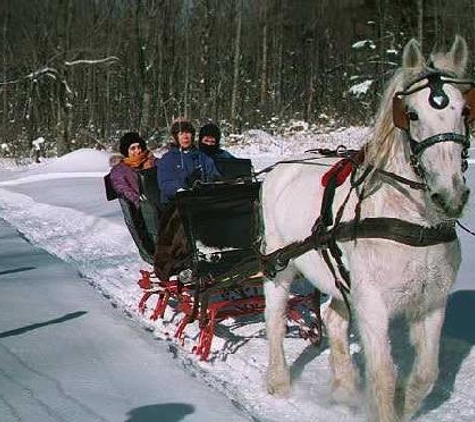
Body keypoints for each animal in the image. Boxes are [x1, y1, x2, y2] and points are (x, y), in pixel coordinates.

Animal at [262, 36, 474, 422]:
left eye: (465, 111)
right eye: (412, 114)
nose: (449, 196)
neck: (414, 222)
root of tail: (279, 168)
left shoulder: (431, 301)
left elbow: (426, 373)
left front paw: (404, 403)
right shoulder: (373, 302)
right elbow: (384, 375)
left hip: (340, 280)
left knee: (333, 318)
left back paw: (345, 389)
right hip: (279, 262)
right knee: (274, 317)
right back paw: (279, 381)